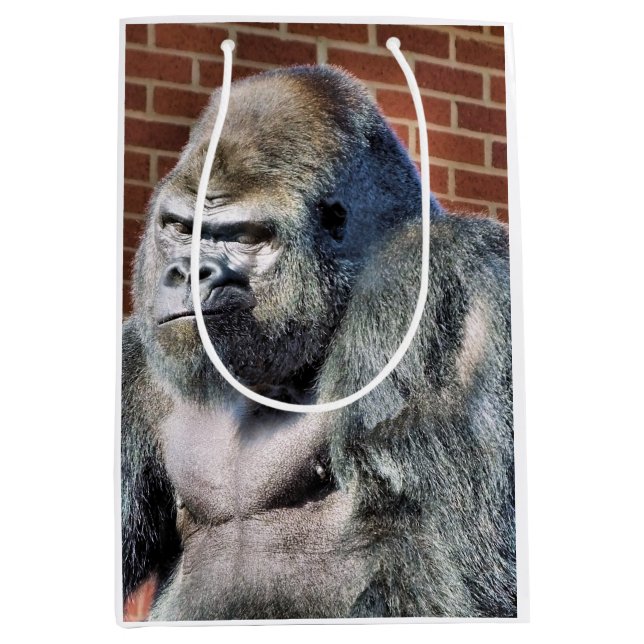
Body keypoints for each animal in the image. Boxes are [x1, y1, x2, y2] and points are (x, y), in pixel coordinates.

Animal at [121, 64, 516, 620]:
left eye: (245, 237)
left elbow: (461, 579)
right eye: (179, 227)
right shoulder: (133, 362)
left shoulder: (443, 282)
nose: (187, 271)